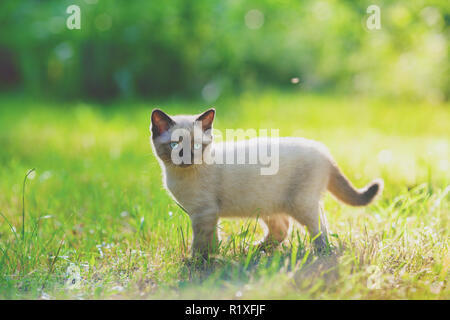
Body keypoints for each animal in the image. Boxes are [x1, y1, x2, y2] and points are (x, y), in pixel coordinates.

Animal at [151, 107, 384, 258]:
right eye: (174, 145)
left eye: (198, 146)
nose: (187, 158)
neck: (180, 175)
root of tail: (324, 150)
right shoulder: (202, 214)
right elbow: (211, 239)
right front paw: (212, 257)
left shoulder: (204, 213)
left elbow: (200, 241)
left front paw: (197, 261)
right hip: (267, 204)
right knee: (283, 228)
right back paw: (256, 250)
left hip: (301, 204)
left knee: (319, 228)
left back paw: (321, 254)